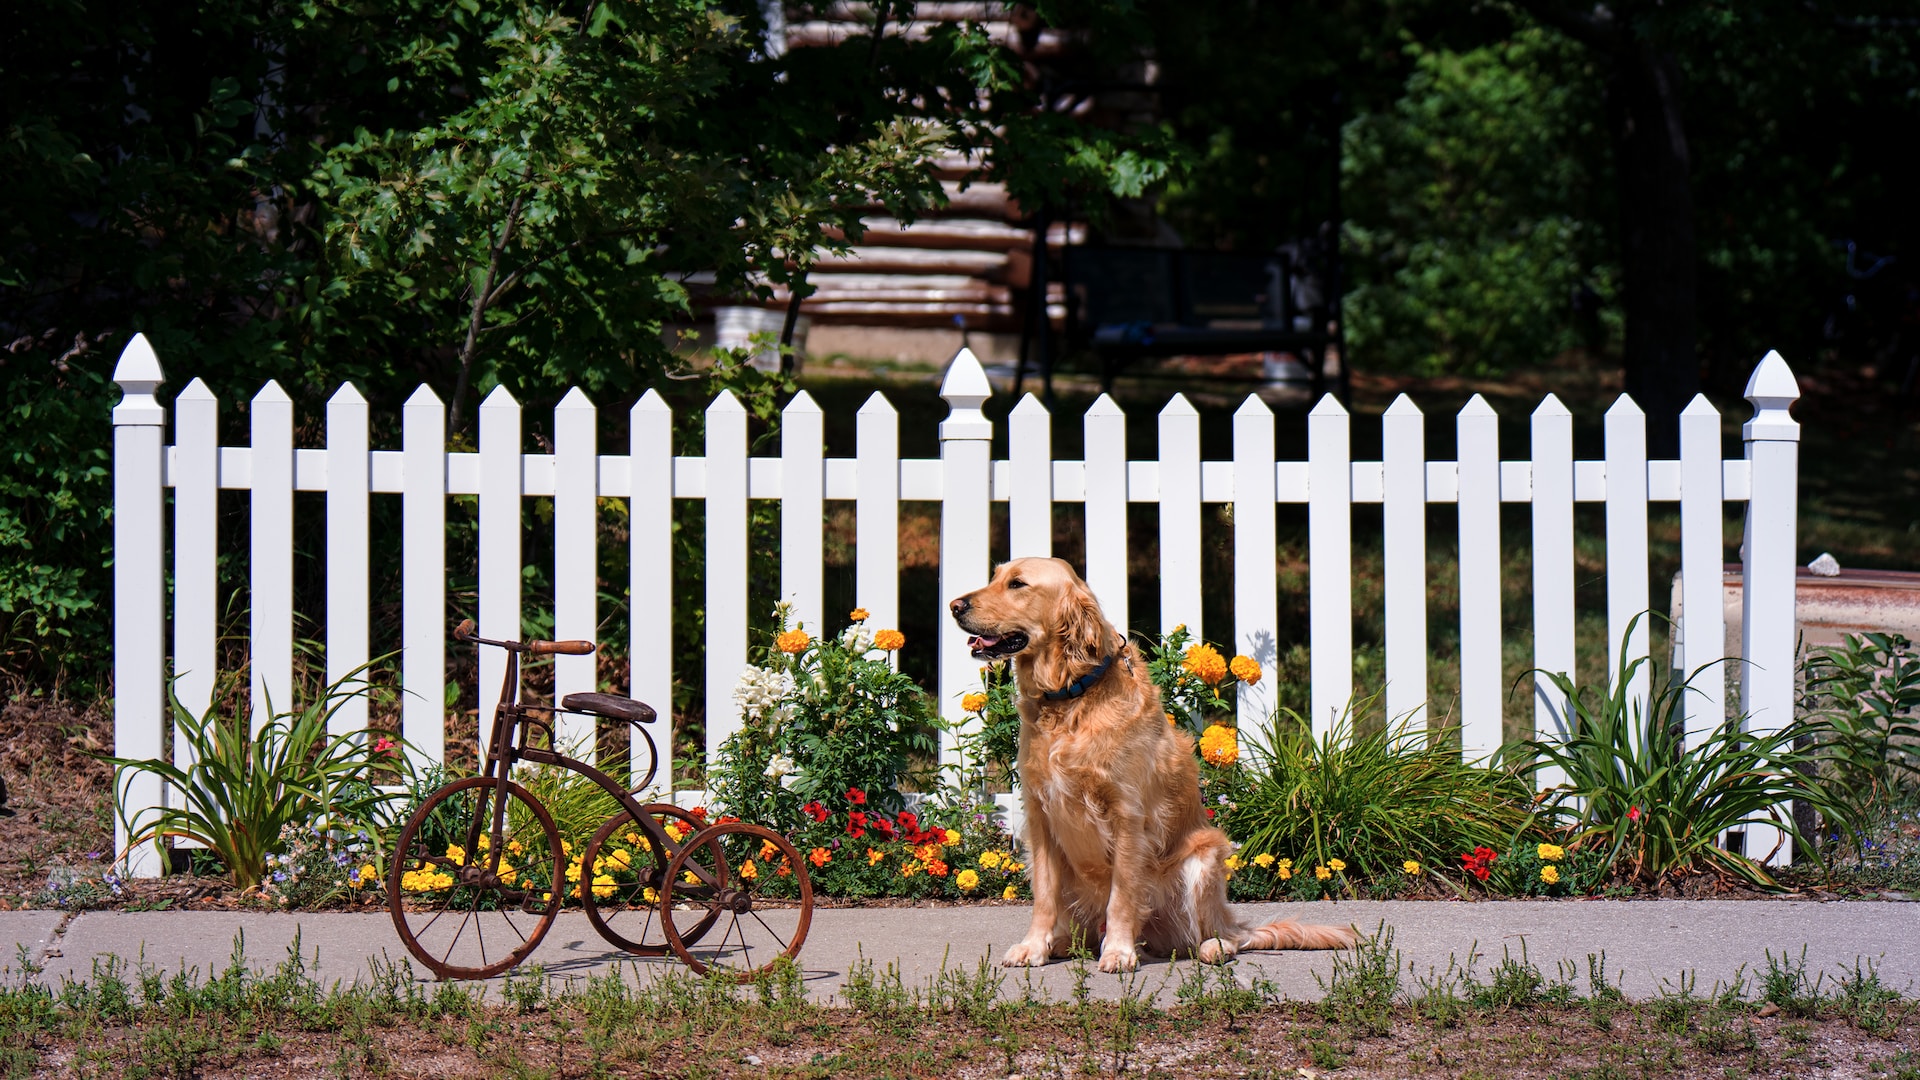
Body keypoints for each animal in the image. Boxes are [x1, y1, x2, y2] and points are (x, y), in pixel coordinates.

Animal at [948, 553, 1351, 968]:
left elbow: (1123, 895)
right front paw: (1033, 946)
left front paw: (1119, 951)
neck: (1069, 695)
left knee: (1221, 935)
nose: (954, 606)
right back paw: (1063, 942)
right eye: (996, 577)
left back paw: (1210, 946)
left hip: (1203, 858)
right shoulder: (1040, 814)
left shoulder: (1127, 815)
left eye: (1018, 584)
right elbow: (1044, 894)